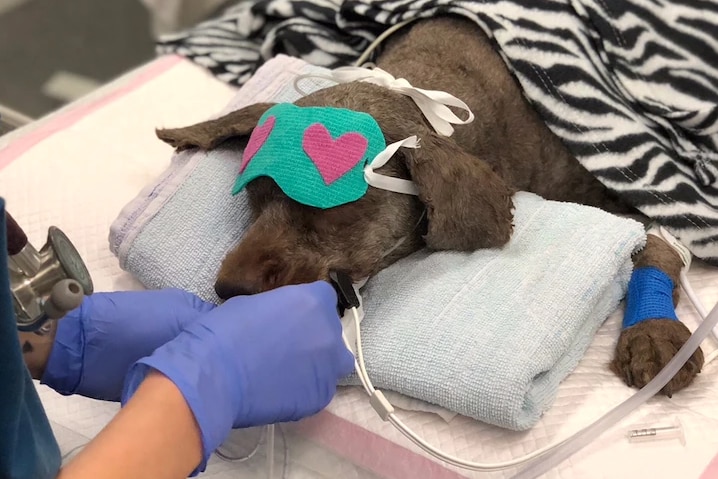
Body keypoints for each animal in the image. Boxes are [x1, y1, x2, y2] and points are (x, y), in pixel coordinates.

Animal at [156, 15, 704, 398]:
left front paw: (655, 334)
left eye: (326, 204)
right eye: (255, 195)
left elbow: (657, 241)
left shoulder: (624, 185)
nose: (229, 288)